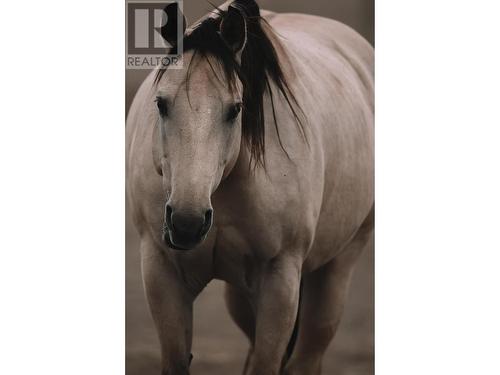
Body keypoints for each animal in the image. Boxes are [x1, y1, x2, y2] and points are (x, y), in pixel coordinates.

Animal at [127, 1, 374, 374]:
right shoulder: (162, 273)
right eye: (161, 103)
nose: (187, 223)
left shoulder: (279, 281)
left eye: (235, 109)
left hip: (338, 267)